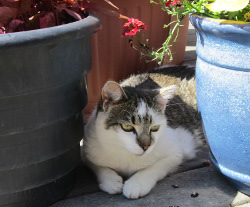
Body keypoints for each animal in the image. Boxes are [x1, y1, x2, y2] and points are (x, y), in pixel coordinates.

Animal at [83, 66, 204, 199]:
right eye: (127, 127)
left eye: (155, 128)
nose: (146, 146)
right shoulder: (87, 148)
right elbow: (97, 166)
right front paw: (111, 181)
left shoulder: (176, 152)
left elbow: (156, 167)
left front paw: (137, 184)